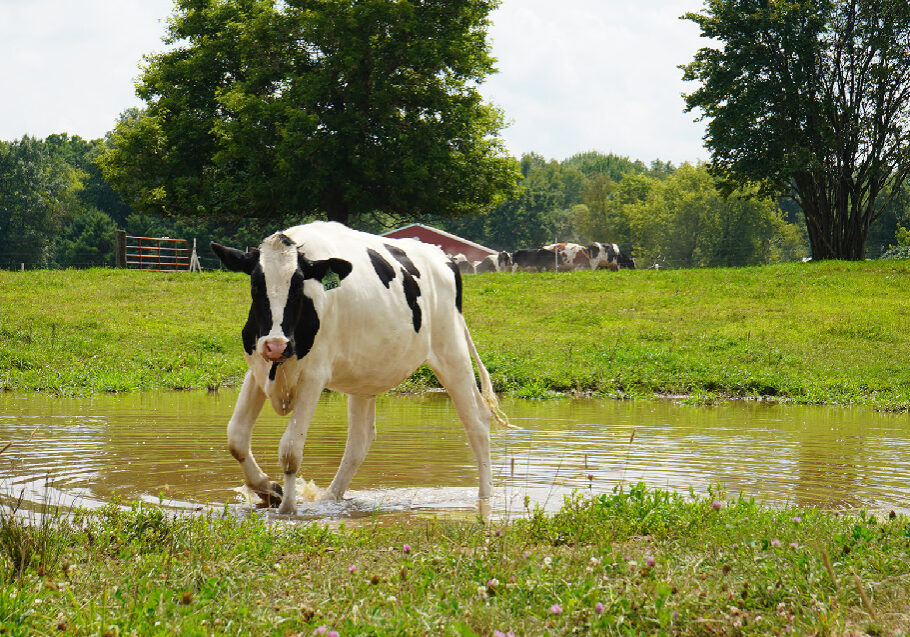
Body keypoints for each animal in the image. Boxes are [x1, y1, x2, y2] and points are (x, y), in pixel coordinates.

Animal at [211, 221, 508, 515]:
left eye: (297, 285)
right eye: (256, 283)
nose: (276, 345)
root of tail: (443, 257)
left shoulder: (313, 377)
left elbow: (291, 449)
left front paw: (287, 509)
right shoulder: (256, 369)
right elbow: (236, 437)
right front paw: (268, 489)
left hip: (452, 352)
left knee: (476, 420)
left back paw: (485, 497)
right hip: (365, 377)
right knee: (359, 440)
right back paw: (331, 497)